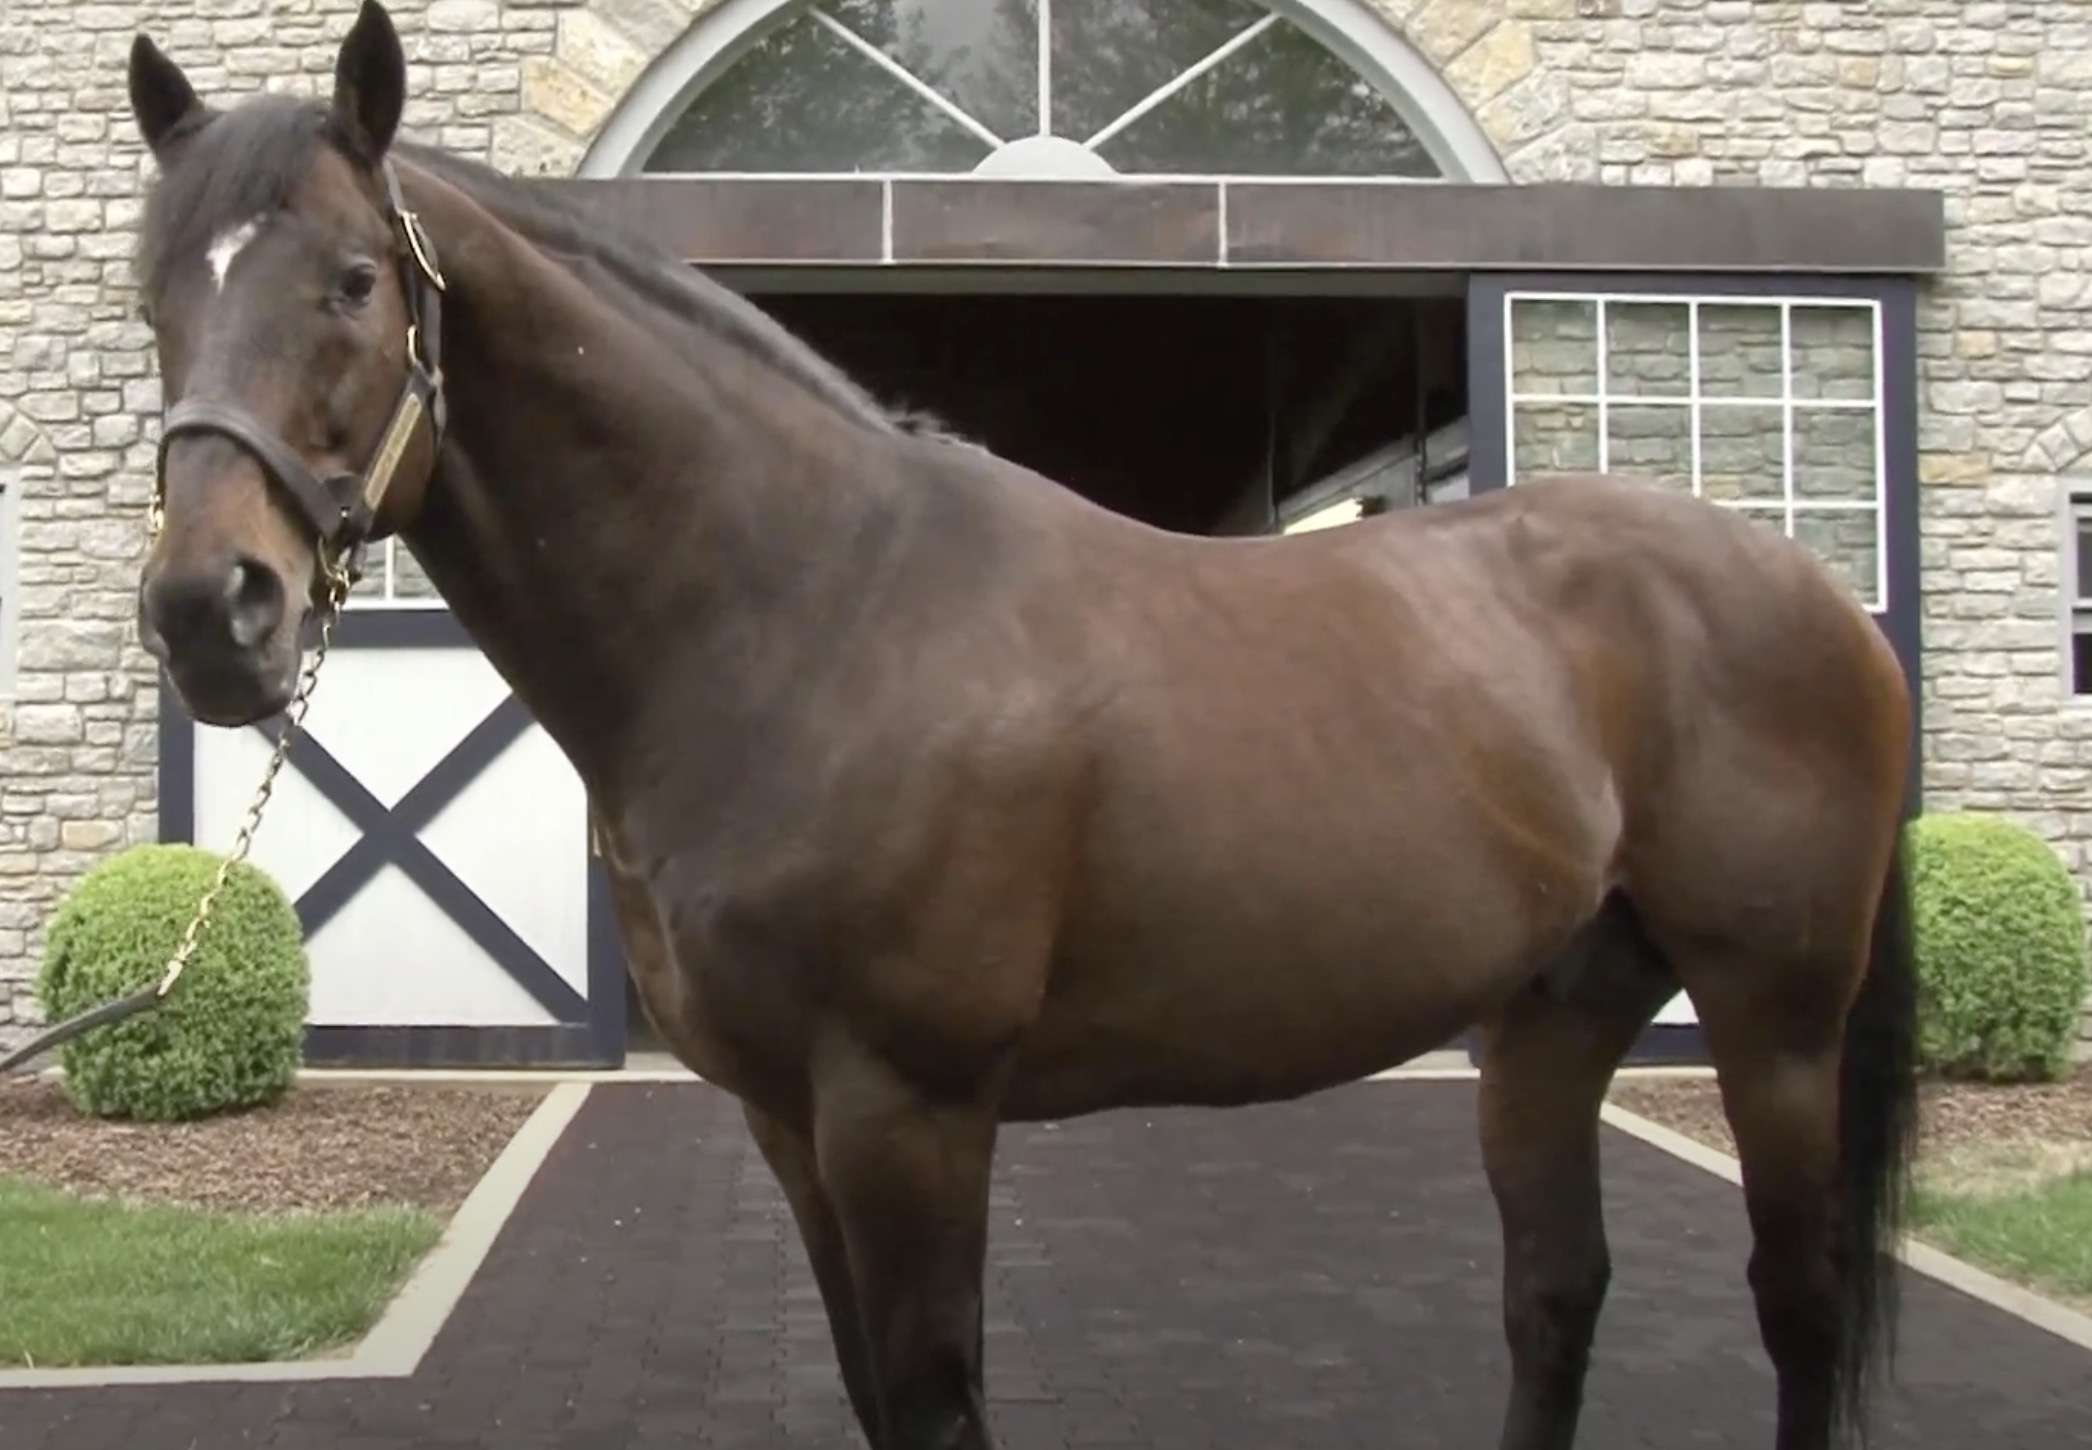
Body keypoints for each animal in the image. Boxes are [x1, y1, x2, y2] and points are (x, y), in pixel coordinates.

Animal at [122, 6, 1918, 1447]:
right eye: (153, 303)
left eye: (355, 282)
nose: (212, 612)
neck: (810, 616)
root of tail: (1809, 594)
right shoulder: (789, 1119)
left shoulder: (907, 1109)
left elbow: (934, 1400)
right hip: (1555, 1011)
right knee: (1555, 1292)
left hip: (1772, 1016)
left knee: (1797, 1298)